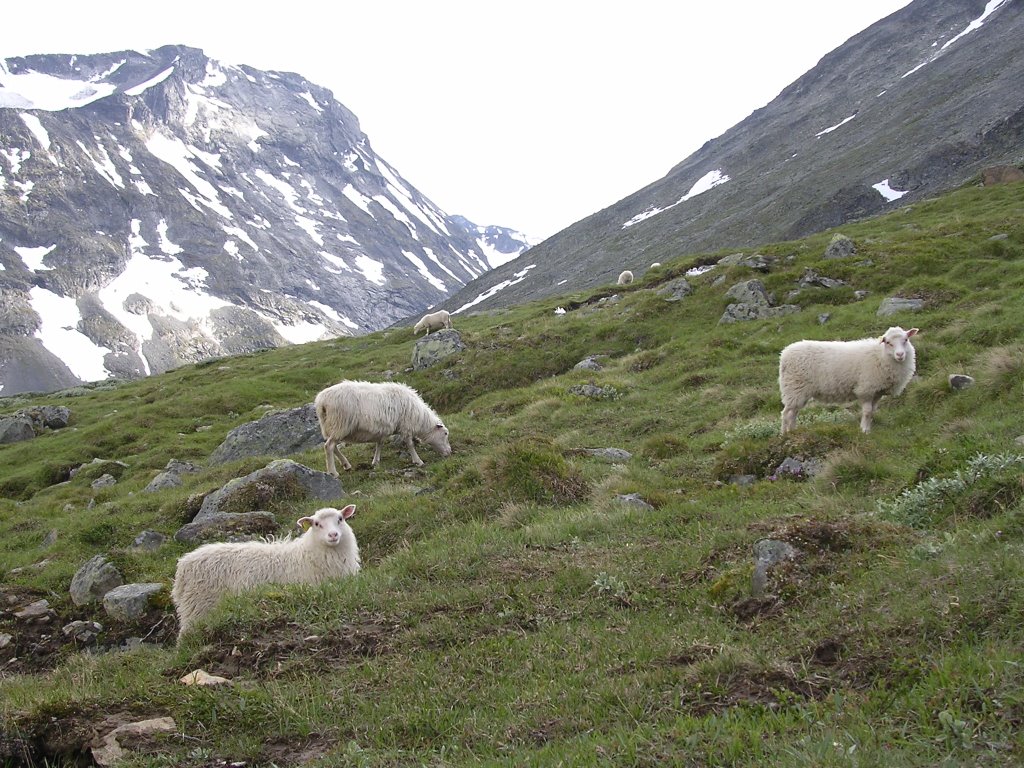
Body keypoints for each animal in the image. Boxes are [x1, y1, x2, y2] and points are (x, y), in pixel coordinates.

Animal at [169, 507, 358, 638]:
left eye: (340, 519)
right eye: (317, 524)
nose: (333, 535)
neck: (307, 553)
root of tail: (183, 566)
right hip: (197, 608)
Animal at [315, 380, 452, 475]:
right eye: (445, 433)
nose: (449, 452)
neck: (420, 418)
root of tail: (322, 401)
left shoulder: (382, 429)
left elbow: (379, 444)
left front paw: (375, 461)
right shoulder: (406, 426)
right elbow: (410, 444)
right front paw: (418, 461)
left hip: (332, 427)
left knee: (333, 446)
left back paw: (346, 464)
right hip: (340, 424)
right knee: (329, 446)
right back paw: (333, 472)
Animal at [774, 323, 921, 434]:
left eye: (906, 340)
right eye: (888, 342)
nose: (900, 354)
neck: (881, 356)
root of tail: (784, 353)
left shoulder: (877, 391)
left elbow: (872, 412)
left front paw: (868, 428)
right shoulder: (866, 389)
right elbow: (867, 412)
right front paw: (864, 430)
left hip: (799, 392)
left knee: (793, 413)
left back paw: (793, 432)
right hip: (794, 387)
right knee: (786, 413)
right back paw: (784, 434)